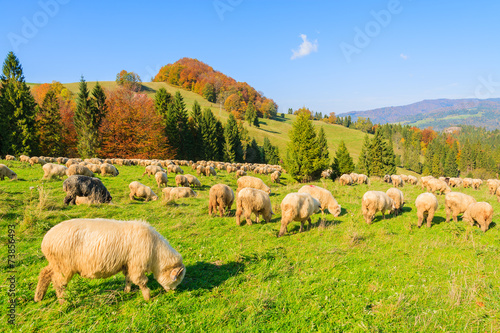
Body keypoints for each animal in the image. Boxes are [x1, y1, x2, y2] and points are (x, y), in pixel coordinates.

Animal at [34, 218, 185, 304]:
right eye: (176, 280)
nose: (173, 293)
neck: (155, 252)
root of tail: (45, 240)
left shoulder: (127, 263)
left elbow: (128, 278)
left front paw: (126, 291)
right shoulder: (136, 264)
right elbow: (141, 281)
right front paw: (148, 297)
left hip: (56, 264)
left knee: (45, 273)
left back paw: (38, 297)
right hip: (64, 266)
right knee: (58, 283)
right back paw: (63, 301)